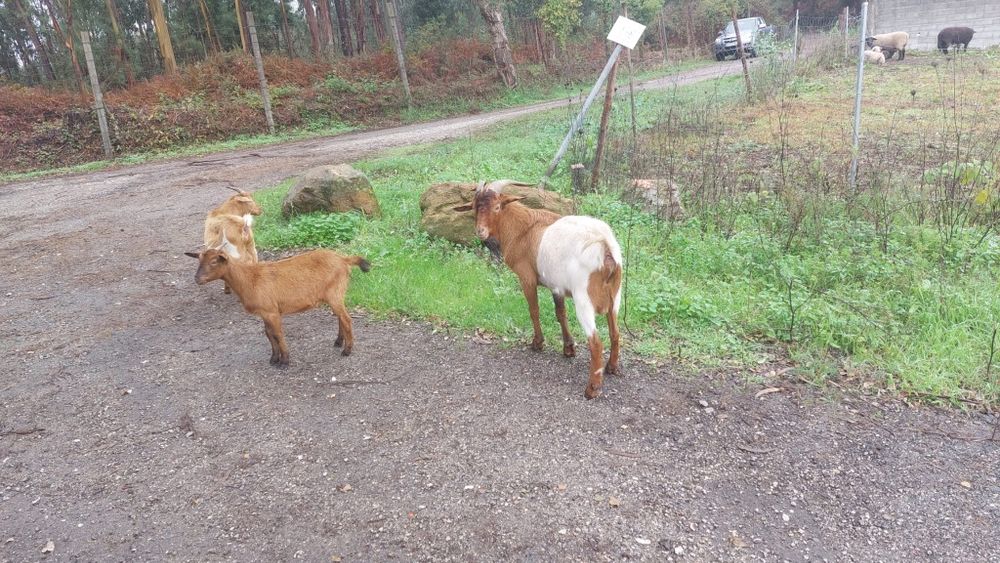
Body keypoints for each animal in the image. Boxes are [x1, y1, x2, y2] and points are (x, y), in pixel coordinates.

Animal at [186, 233, 370, 366]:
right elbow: (268, 334)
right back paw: (338, 342)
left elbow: (278, 334)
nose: (197, 279)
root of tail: (344, 259)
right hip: (333, 294)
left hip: (335, 292)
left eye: (214, 261)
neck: (249, 278)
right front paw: (274, 358)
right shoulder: (265, 312)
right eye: (199, 260)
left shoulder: (272, 312)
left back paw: (347, 350)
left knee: (346, 318)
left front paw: (285, 360)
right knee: (340, 317)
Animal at [454, 180, 623, 399]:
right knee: (615, 332)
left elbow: (534, 310)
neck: (522, 229)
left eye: (497, 207)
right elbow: (560, 313)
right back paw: (612, 367)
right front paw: (568, 349)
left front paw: (537, 343)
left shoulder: (527, 278)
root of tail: (606, 249)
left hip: (584, 300)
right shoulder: (556, 286)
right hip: (615, 297)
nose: (480, 231)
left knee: (596, 342)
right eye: (474, 207)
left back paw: (592, 389)